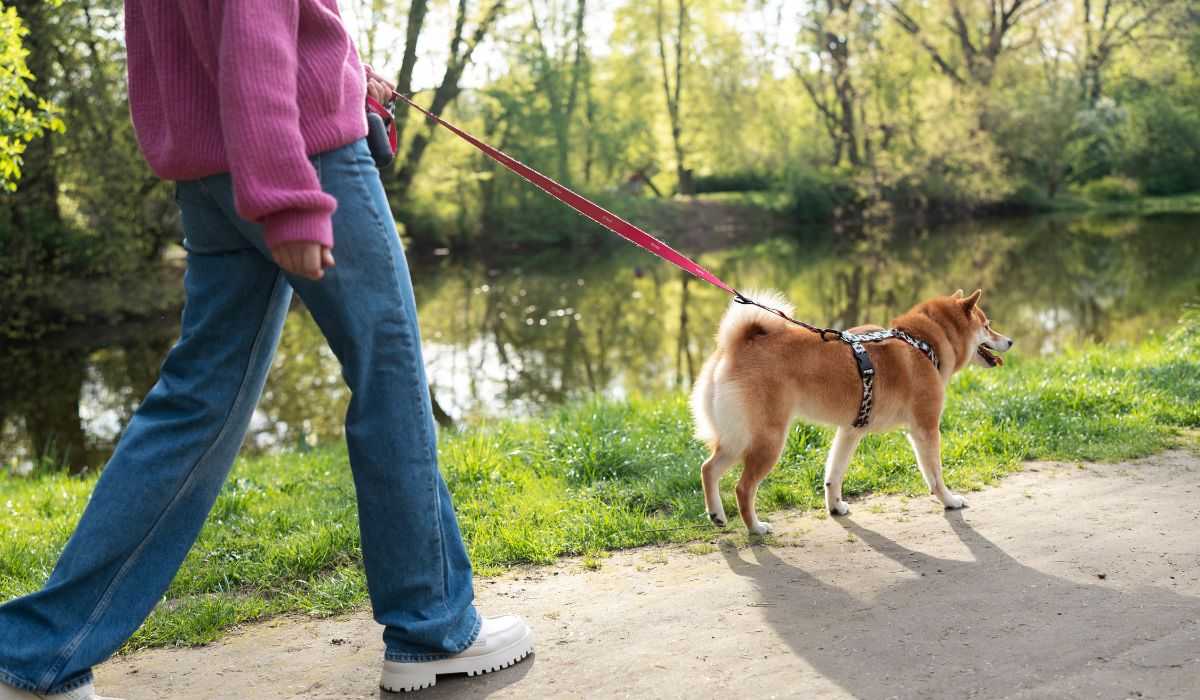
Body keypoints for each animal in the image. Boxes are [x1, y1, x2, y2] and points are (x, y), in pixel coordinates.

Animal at [696, 288, 1012, 533]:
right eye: (987, 325)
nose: (1010, 341)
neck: (923, 343)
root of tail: (736, 347)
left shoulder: (850, 430)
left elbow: (833, 474)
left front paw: (835, 507)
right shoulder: (925, 428)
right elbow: (934, 474)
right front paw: (949, 501)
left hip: (737, 438)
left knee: (708, 468)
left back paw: (717, 515)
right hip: (768, 440)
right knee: (743, 488)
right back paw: (755, 527)